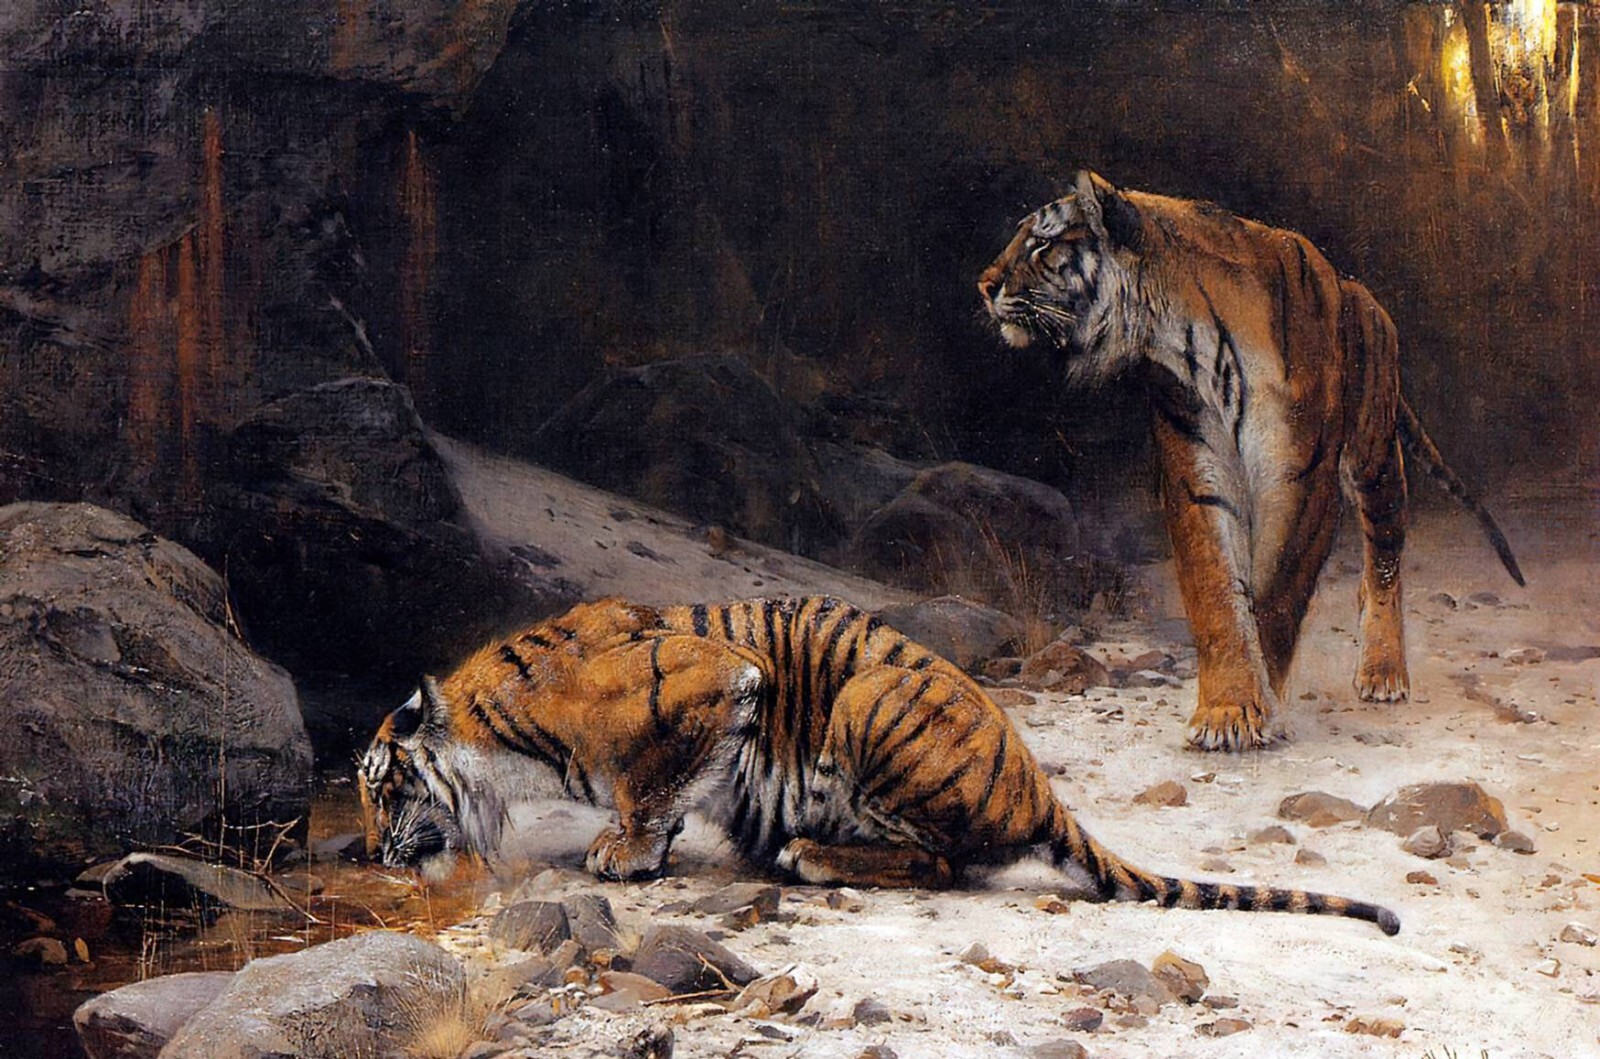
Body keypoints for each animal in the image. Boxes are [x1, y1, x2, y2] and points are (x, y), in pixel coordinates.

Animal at [360, 595, 1400, 935]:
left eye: (380, 788)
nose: (370, 855)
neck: (500, 740)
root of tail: (1040, 787)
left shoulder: (719, 683)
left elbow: (651, 784)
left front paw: (625, 851)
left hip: (869, 702)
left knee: (939, 862)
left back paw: (809, 853)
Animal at [977, 170, 1524, 751]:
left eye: (1042, 244)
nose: (984, 286)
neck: (1187, 342)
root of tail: (1361, 293)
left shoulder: (1301, 479)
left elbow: (1279, 591)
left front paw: (1260, 705)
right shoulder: (1197, 476)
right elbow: (1217, 592)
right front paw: (1225, 708)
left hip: (1375, 463)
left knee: (1384, 563)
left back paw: (1383, 672)